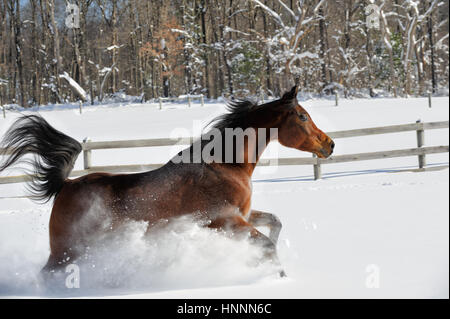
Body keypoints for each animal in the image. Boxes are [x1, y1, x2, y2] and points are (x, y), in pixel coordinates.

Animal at [0, 86, 330, 278]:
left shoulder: (243, 216)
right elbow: (266, 245)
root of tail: (66, 185)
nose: (330, 145)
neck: (226, 165)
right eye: (302, 116)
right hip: (66, 250)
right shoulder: (225, 221)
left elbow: (275, 223)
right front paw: (277, 275)